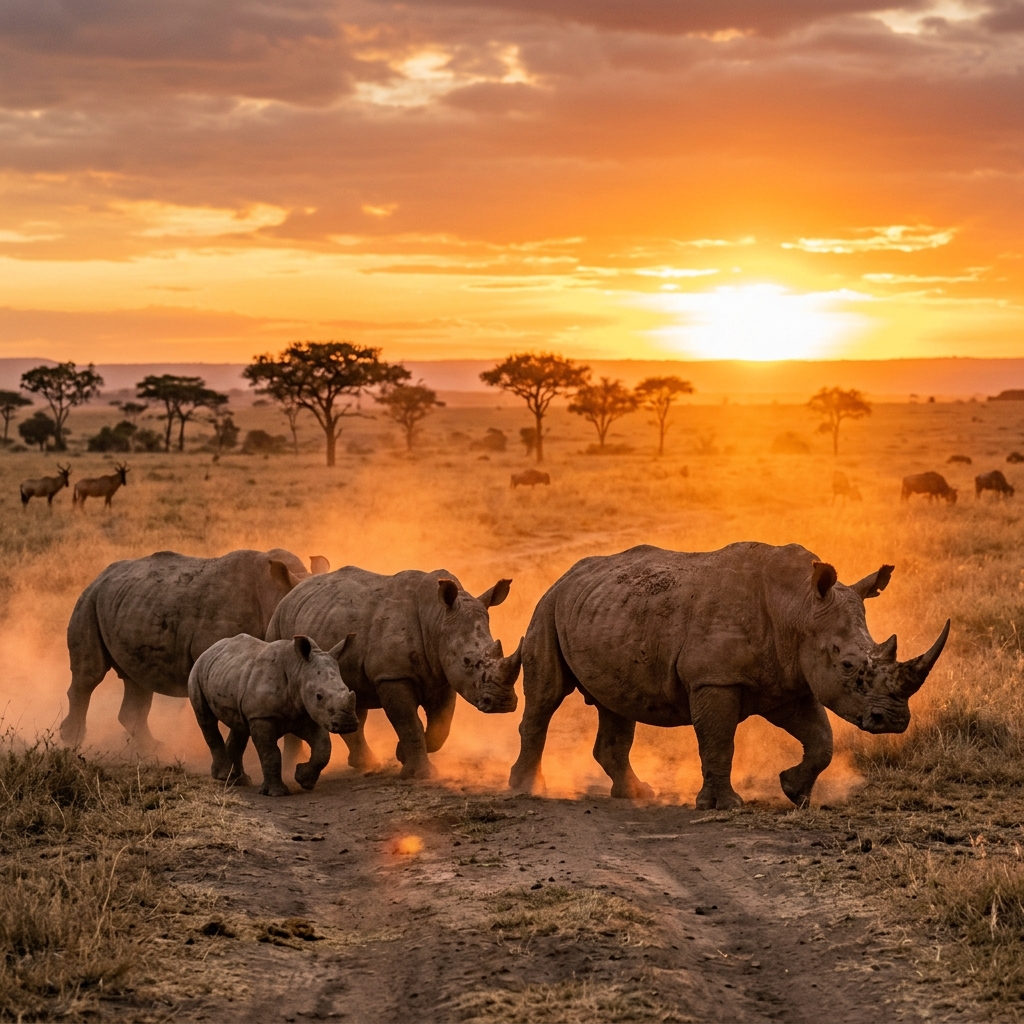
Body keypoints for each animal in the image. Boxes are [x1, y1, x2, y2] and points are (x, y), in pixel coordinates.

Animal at [61, 548, 331, 749]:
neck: (276, 593)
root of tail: (98, 576)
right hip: (89, 601)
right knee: (89, 676)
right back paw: (72, 741)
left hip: (127, 604)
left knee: (137, 682)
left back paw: (154, 749)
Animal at [189, 633, 358, 796]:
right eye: (319, 696)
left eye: (347, 689)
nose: (348, 724)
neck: (298, 670)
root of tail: (211, 648)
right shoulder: (261, 716)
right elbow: (270, 753)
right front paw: (276, 793)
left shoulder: (307, 714)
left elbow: (323, 748)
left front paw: (303, 780)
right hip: (197, 671)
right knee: (206, 719)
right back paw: (224, 776)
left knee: (239, 725)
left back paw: (239, 780)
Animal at [267, 567, 523, 779]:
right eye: (467, 661)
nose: (502, 703)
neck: (437, 619)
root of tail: (293, 590)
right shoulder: (392, 675)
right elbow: (409, 723)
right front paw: (419, 774)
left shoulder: (443, 676)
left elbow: (441, 726)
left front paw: (401, 754)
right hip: (278, 623)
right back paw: (292, 769)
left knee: (351, 695)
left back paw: (365, 763)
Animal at [509, 542, 949, 808]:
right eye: (848, 666)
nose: (893, 721)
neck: (799, 608)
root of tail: (566, 575)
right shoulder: (715, 679)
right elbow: (719, 741)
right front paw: (724, 805)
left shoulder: (788, 681)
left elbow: (821, 739)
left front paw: (794, 792)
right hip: (548, 606)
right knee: (546, 696)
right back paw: (527, 789)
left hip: (605, 611)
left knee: (615, 703)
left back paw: (636, 794)